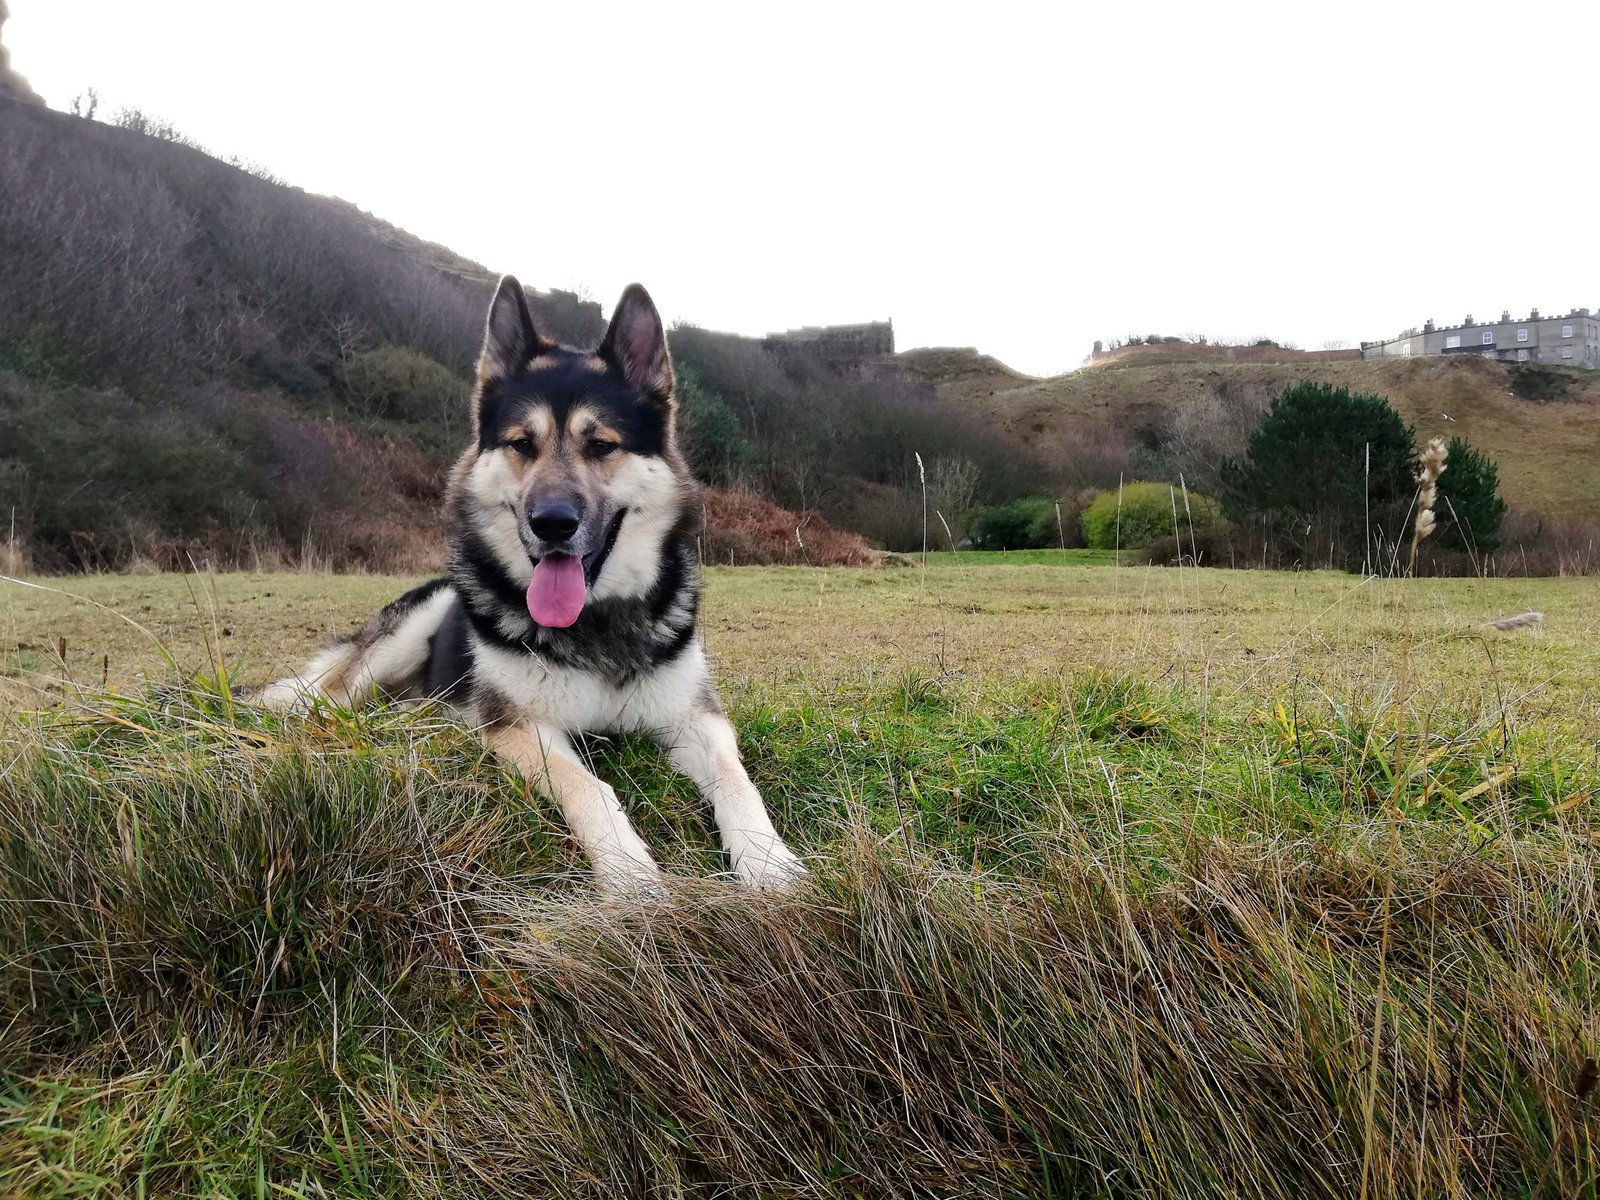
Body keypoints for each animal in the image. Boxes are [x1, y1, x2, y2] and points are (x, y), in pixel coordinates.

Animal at [259, 277, 804, 892]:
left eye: (601, 445)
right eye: (522, 444)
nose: (552, 523)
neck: (595, 621)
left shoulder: (697, 720)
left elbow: (737, 780)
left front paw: (768, 863)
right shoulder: (524, 729)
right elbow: (588, 786)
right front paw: (629, 874)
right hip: (407, 631)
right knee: (330, 702)